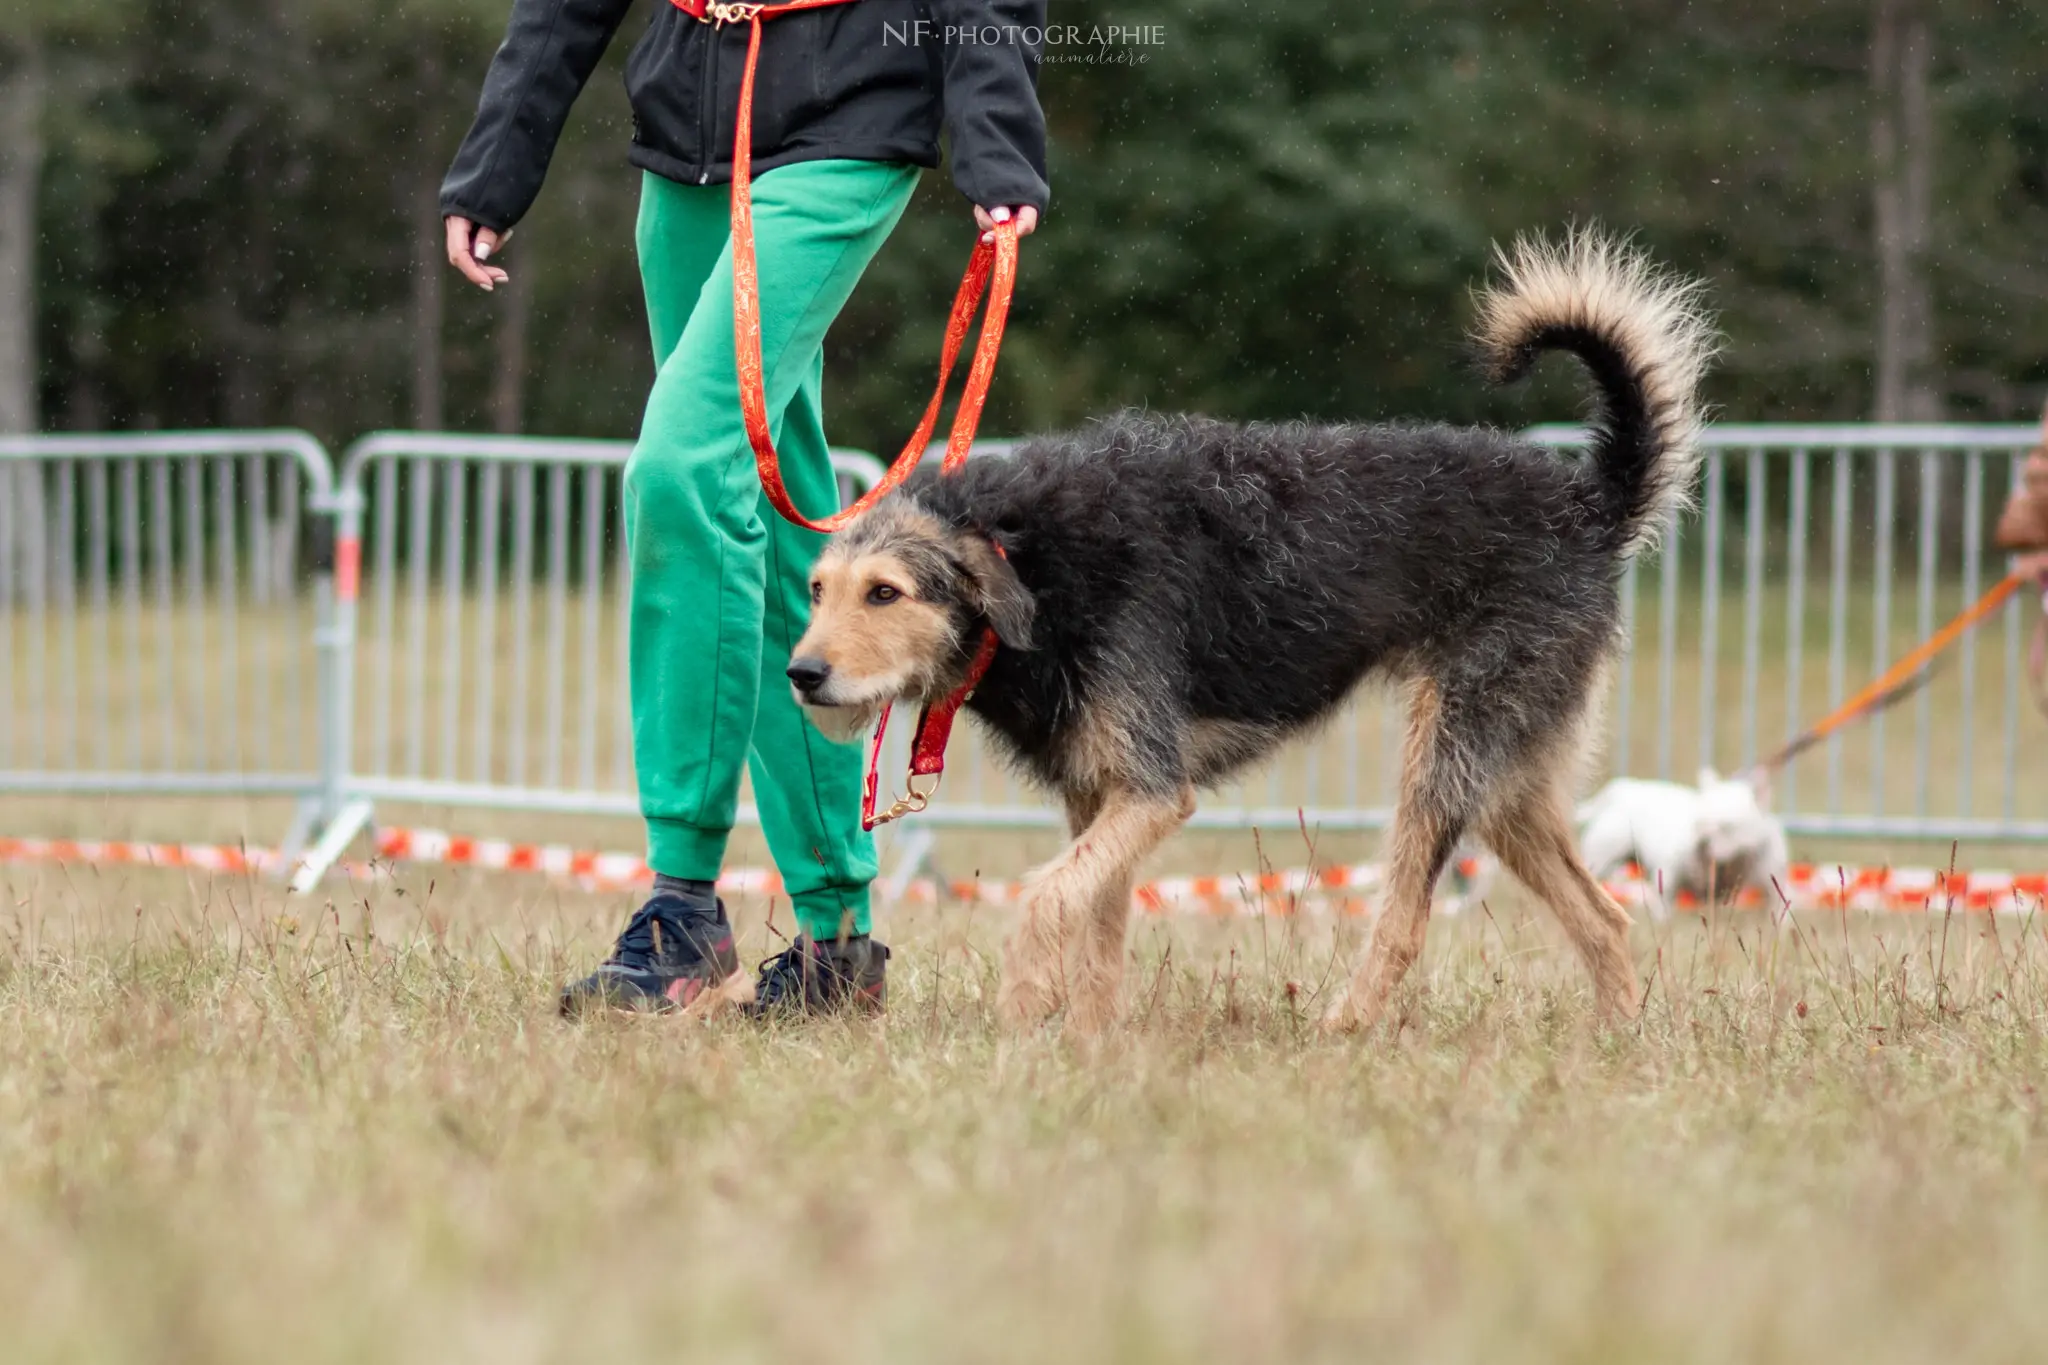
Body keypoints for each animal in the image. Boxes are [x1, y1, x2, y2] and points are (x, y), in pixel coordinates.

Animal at [782, 229, 1712, 1031]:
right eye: (817, 589)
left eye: (886, 593)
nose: (801, 675)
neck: (1037, 561)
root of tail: (1587, 504)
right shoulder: (1102, 800)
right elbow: (1096, 934)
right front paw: (1088, 1048)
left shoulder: (1152, 790)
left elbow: (1046, 897)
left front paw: (1022, 1008)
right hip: (1510, 785)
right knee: (1605, 916)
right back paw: (1619, 1041)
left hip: (1447, 757)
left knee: (1407, 921)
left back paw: (1344, 1028)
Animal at [1572, 773, 1785, 925]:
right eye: (1699, 824)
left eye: (1726, 827)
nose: (1703, 840)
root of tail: (1622, 789)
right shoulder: (1668, 880)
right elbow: (1664, 908)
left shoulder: (1773, 883)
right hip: (1602, 858)